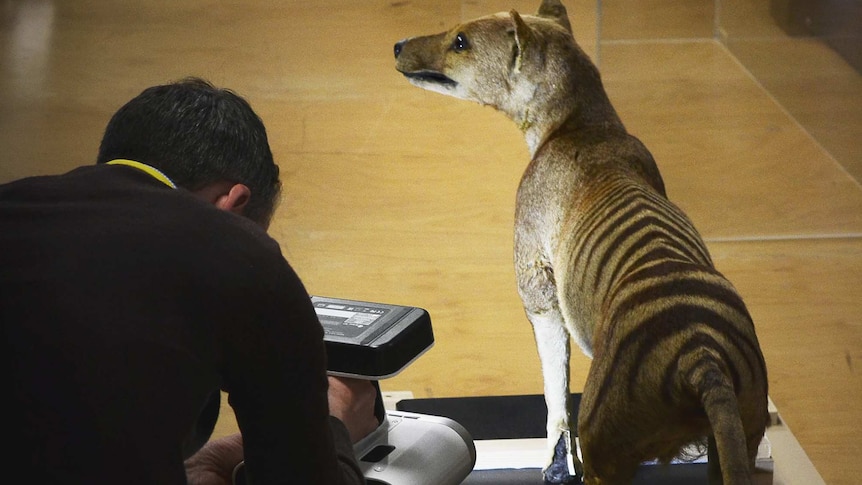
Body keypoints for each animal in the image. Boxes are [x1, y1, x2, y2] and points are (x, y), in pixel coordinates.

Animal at [394, 0, 772, 484]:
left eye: (461, 41)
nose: (398, 45)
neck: (584, 126)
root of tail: (702, 361)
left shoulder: (538, 287)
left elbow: (555, 391)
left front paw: (555, 464)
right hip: (738, 435)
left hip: (606, 442)